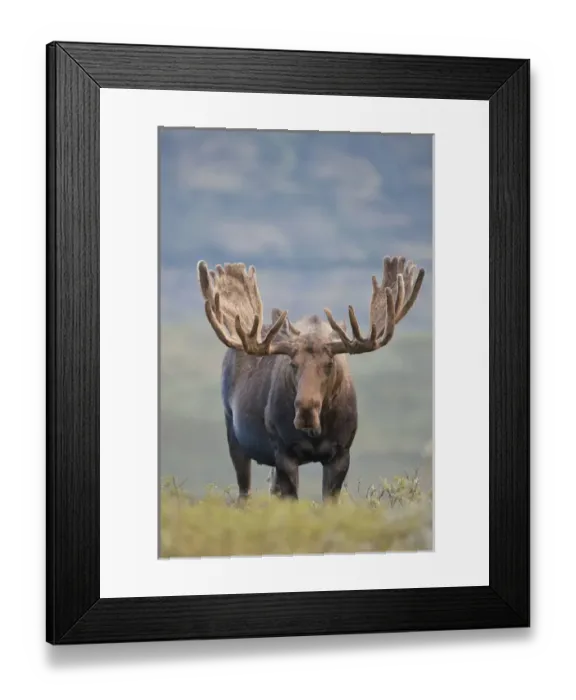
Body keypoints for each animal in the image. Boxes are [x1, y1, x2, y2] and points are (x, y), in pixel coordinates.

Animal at [196, 256, 425, 503]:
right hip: (233, 431)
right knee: (244, 493)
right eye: (293, 364)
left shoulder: (341, 453)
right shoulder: (284, 452)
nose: (306, 410)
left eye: (330, 364)